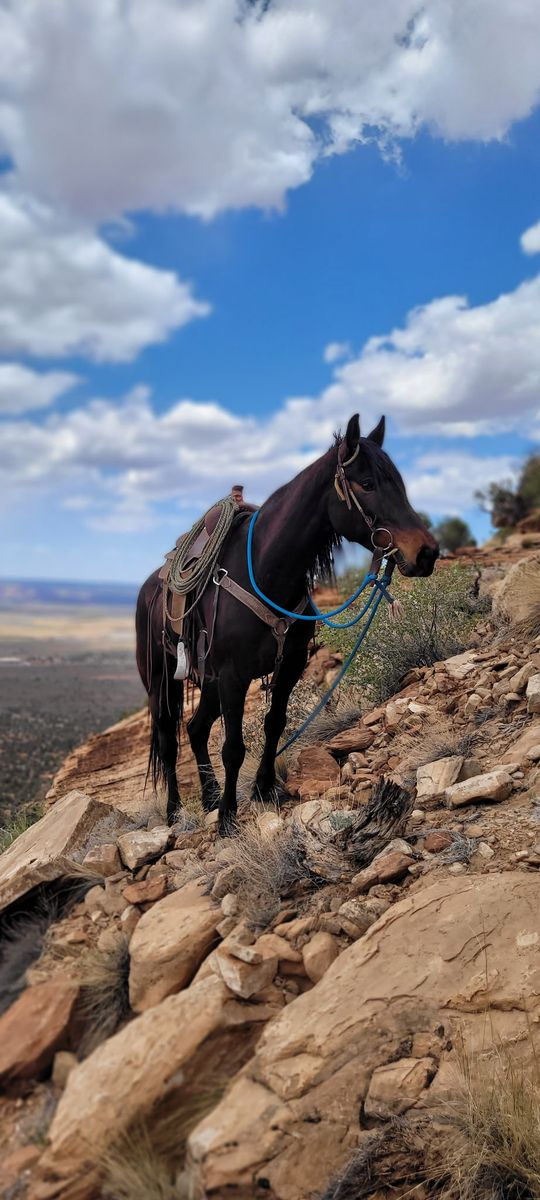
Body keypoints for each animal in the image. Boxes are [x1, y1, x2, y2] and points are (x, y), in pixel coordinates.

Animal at [135, 413, 439, 835]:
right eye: (367, 483)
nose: (427, 553)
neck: (267, 572)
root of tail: (149, 587)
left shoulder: (288, 665)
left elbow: (274, 723)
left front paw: (264, 790)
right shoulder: (233, 676)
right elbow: (233, 748)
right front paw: (228, 818)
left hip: (208, 680)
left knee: (196, 728)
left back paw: (209, 797)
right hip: (162, 680)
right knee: (168, 739)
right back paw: (175, 811)